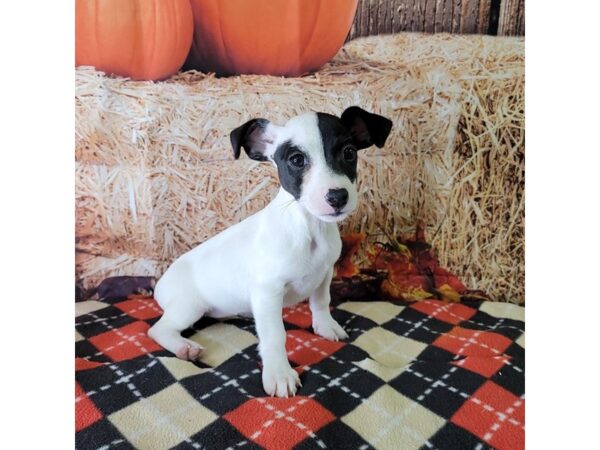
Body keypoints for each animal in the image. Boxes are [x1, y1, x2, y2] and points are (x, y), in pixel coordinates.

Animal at [149, 106, 394, 398]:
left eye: (349, 152)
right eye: (297, 160)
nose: (337, 196)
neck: (308, 227)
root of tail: (160, 283)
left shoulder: (325, 274)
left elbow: (321, 302)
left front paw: (325, 326)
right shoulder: (268, 292)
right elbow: (275, 335)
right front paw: (279, 373)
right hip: (188, 306)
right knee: (158, 329)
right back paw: (183, 347)